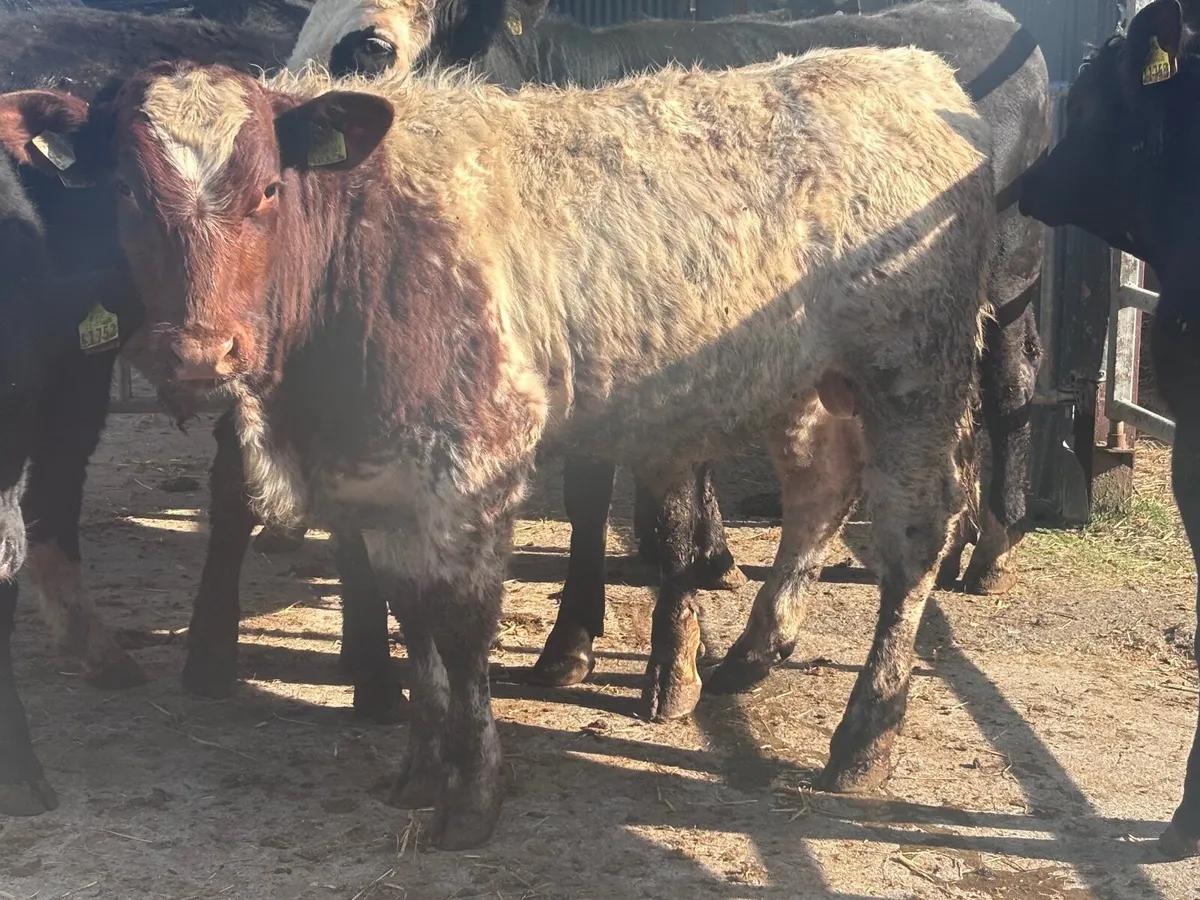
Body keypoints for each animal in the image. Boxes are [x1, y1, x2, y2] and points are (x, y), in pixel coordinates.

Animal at [0, 43, 996, 845]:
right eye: (125, 193)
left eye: (269, 191)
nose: (199, 355)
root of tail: (906, 67)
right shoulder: (385, 481)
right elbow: (411, 619)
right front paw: (420, 767)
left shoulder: (472, 462)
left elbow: (463, 626)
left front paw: (473, 793)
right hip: (807, 381)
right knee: (821, 488)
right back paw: (754, 652)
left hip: (917, 369)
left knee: (915, 537)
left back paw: (863, 739)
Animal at [287, 0, 1049, 693]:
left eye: (373, 45)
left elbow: (610, 497)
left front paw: (603, 643)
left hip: (995, 287)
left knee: (1007, 387)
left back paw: (991, 548)